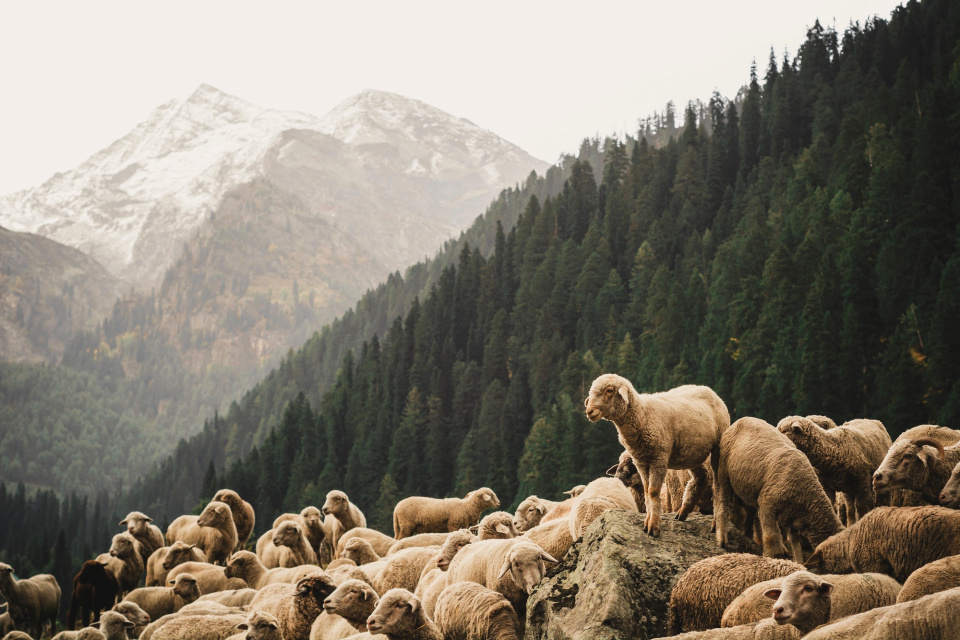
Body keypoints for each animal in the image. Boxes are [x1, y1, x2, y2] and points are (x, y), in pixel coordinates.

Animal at [580, 372, 732, 536]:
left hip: (717, 447)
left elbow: (653, 492)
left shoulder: (659, 458)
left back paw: (716, 523)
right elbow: (647, 491)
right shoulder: (641, 461)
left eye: (609, 390)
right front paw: (647, 522)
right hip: (692, 453)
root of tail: (708, 390)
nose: (589, 411)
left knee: (717, 485)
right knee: (701, 476)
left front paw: (653, 526)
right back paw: (683, 512)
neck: (643, 415)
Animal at [712, 416, 840, 556]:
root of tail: (740, 420)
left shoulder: (791, 519)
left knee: (749, 514)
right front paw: (771, 556)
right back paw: (722, 537)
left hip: (749, 489)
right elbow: (771, 537)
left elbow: (796, 546)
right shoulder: (767, 505)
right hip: (723, 473)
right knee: (723, 503)